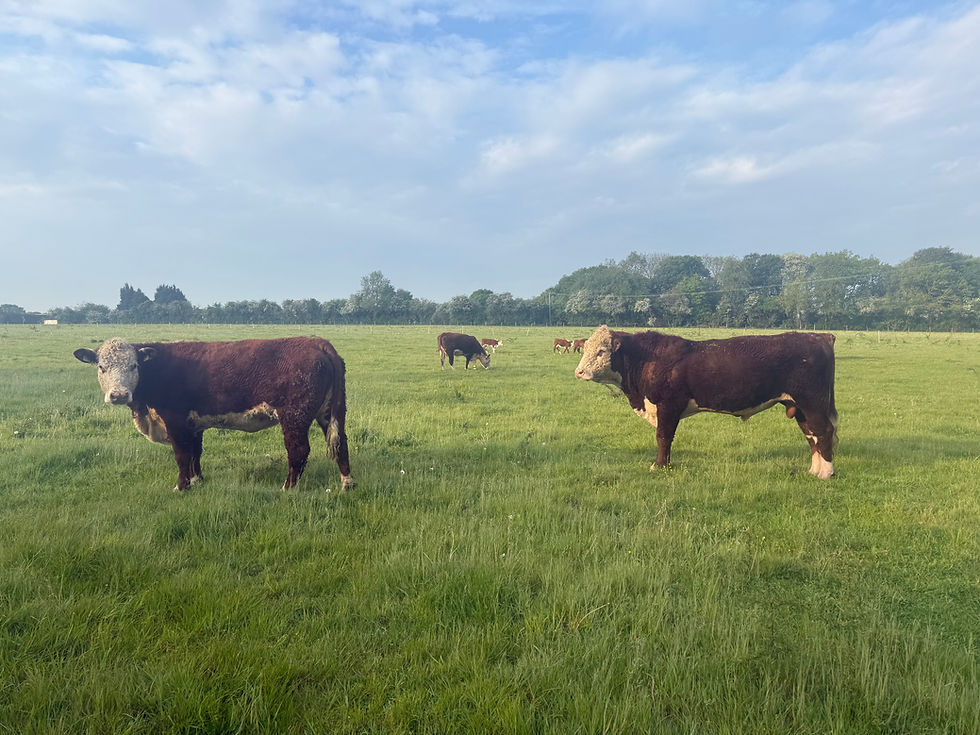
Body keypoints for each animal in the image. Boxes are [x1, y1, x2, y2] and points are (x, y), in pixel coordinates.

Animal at [73, 336, 355, 492]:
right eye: (101, 367)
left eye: (133, 365)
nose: (119, 394)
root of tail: (318, 342)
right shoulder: (193, 424)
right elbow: (195, 453)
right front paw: (197, 479)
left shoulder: (175, 420)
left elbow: (181, 455)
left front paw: (181, 486)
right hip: (330, 411)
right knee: (341, 442)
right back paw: (347, 483)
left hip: (294, 415)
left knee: (298, 451)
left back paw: (288, 488)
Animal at [575, 326, 838, 479]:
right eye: (585, 348)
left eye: (601, 351)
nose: (579, 372)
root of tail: (820, 336)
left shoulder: (668, 405)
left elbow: (663, 437)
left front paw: (659, 466)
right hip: (800, 407)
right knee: (811, 435)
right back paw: (814, 470)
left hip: (813, 402)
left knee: (823, 432)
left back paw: (826, 473)